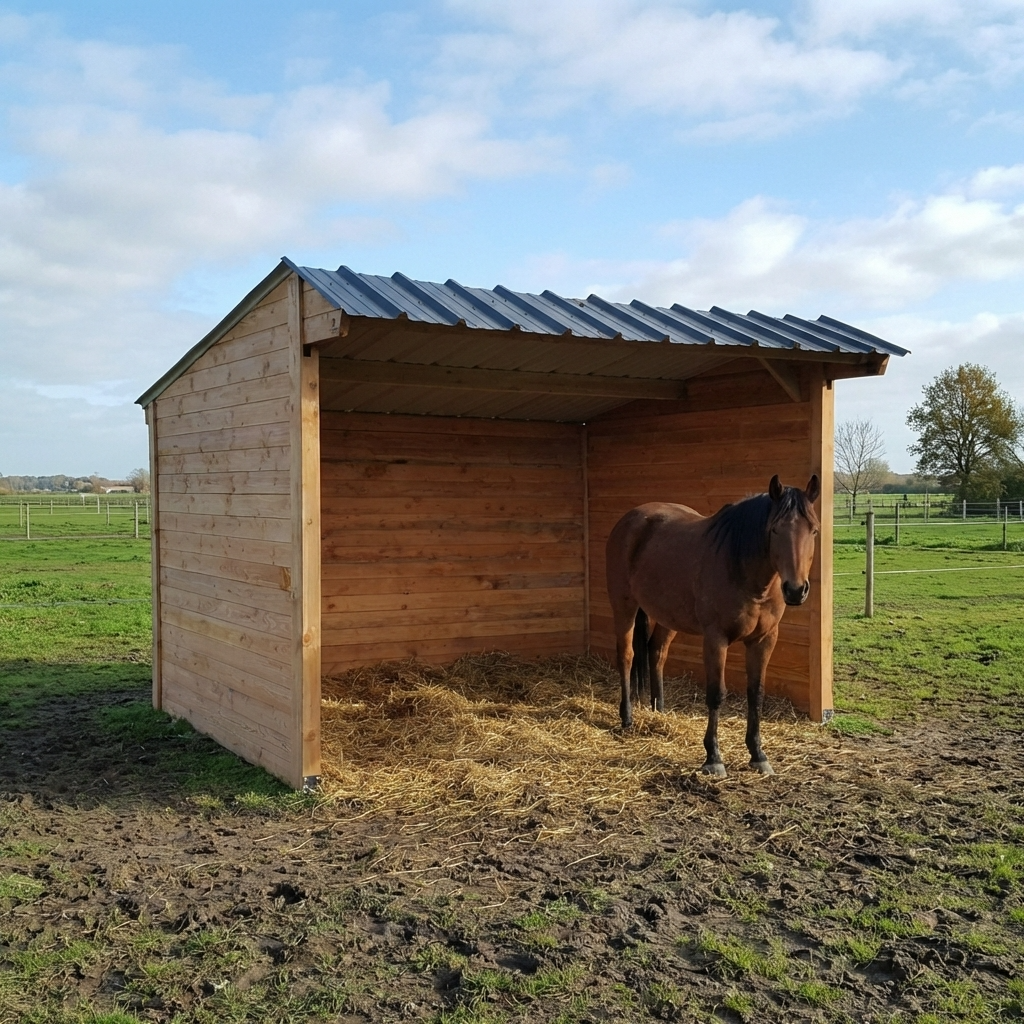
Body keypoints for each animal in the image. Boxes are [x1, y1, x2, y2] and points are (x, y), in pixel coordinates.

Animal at [605, 474, 820, 777]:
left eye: (814, 531)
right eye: (775, 530)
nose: (796, 590)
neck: (743, 571)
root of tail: (631, 519)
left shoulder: (765, 639)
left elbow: (756, 694)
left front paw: (758, 754)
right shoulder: (716, 639)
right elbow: (716, 694)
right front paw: (713, 758)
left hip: (668, 615)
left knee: (656, 653)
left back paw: (659, 710)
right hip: (624, 606)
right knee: (626, 655)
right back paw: (627, 718)